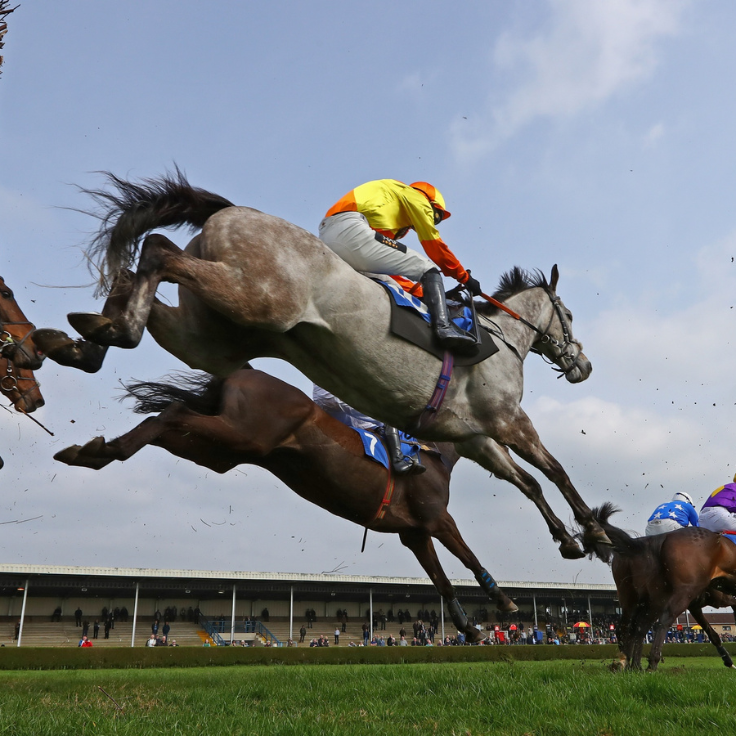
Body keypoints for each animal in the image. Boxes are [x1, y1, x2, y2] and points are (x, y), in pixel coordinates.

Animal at [33, 169, 611, 560]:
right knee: (156, 249)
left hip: (212, 336)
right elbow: (554, 469)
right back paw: (104, 333)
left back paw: (86, 342)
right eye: (569, 316)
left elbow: (528, 483)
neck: (502, 338)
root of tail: (234, 210)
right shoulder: (508, 420)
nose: (582, 366)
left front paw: (568, 539)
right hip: (256, 300)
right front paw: (596, 532)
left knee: (143, 286)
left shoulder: (473, 435)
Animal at [53, 366, 519, 642]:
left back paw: (95, 451)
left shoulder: (414, 532)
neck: (432, 451)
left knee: (164, 421)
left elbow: (442, 581)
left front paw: (470, 629)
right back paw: (95, 451)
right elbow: (468, 557)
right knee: (171, 412)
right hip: (238, 434)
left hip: (220, 452)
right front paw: (504, 603)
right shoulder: (436, 518)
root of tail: (243, 369)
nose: (514, 456)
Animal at [586, 503, 736, 671]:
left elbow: (712, 633)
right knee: (661, 622)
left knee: (631, 627)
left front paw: (728, 660)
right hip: (676, 594)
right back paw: (650, 663)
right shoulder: (715, 598)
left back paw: (628, 664)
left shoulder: (695, 605)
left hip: (632, 595)